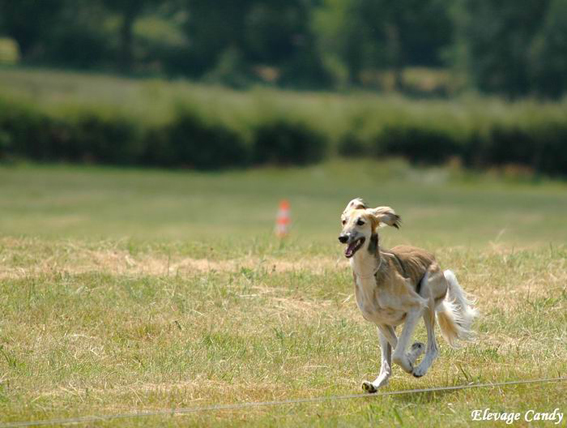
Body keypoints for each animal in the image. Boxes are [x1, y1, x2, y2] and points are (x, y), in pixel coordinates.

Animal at [340, 199, 478, 392]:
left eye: (360, 222)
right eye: (344, 221)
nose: (343, 237)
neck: (371, 274)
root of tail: (437, 264)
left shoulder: (415, 307)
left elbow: (399, 354)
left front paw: (413, 360)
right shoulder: (380, 321)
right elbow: (397, 350)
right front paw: (413, 354)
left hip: (428, 296)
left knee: (433, 347)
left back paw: (420, 368)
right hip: (385, 327)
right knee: (387, 364)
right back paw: (375, 384)